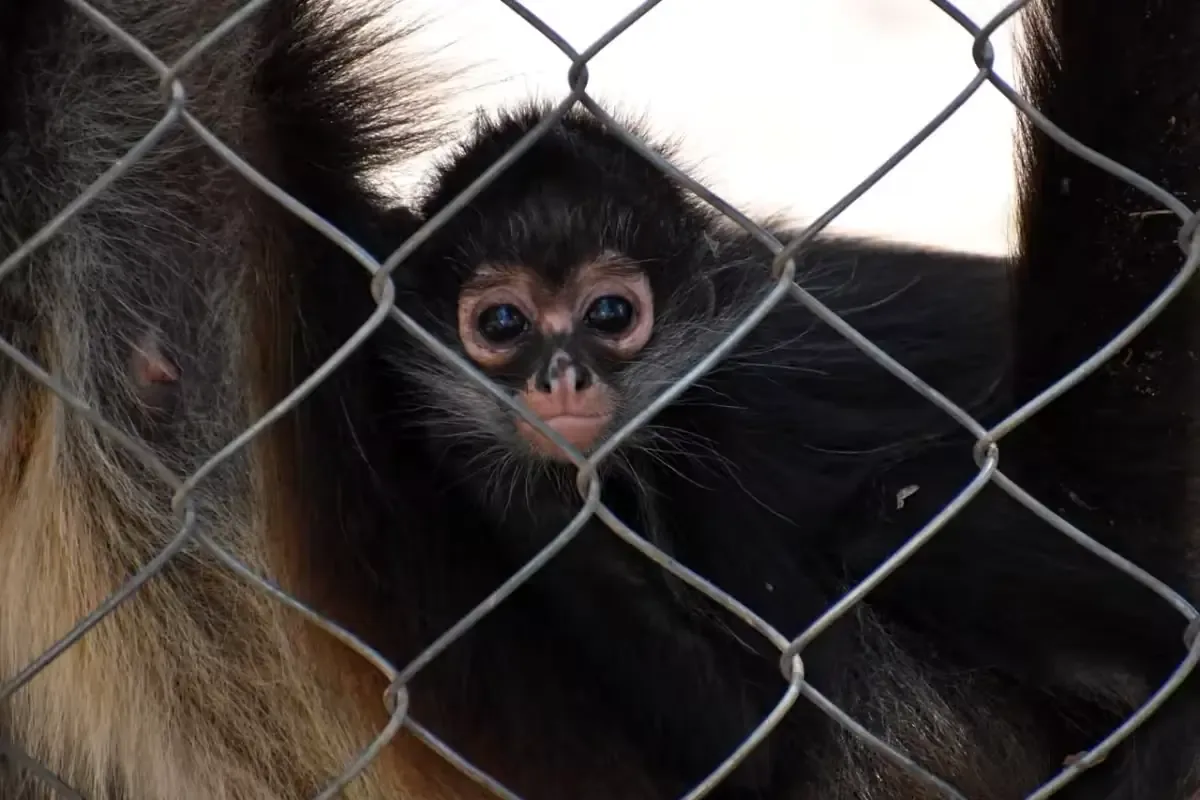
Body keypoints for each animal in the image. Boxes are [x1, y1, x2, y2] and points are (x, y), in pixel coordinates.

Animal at [370, 95, 1200, 799]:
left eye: (609, 314)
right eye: (502, 324)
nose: (560, 379)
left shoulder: (729, 448)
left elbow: (764, 742)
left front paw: (498, 476)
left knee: (899, 516)